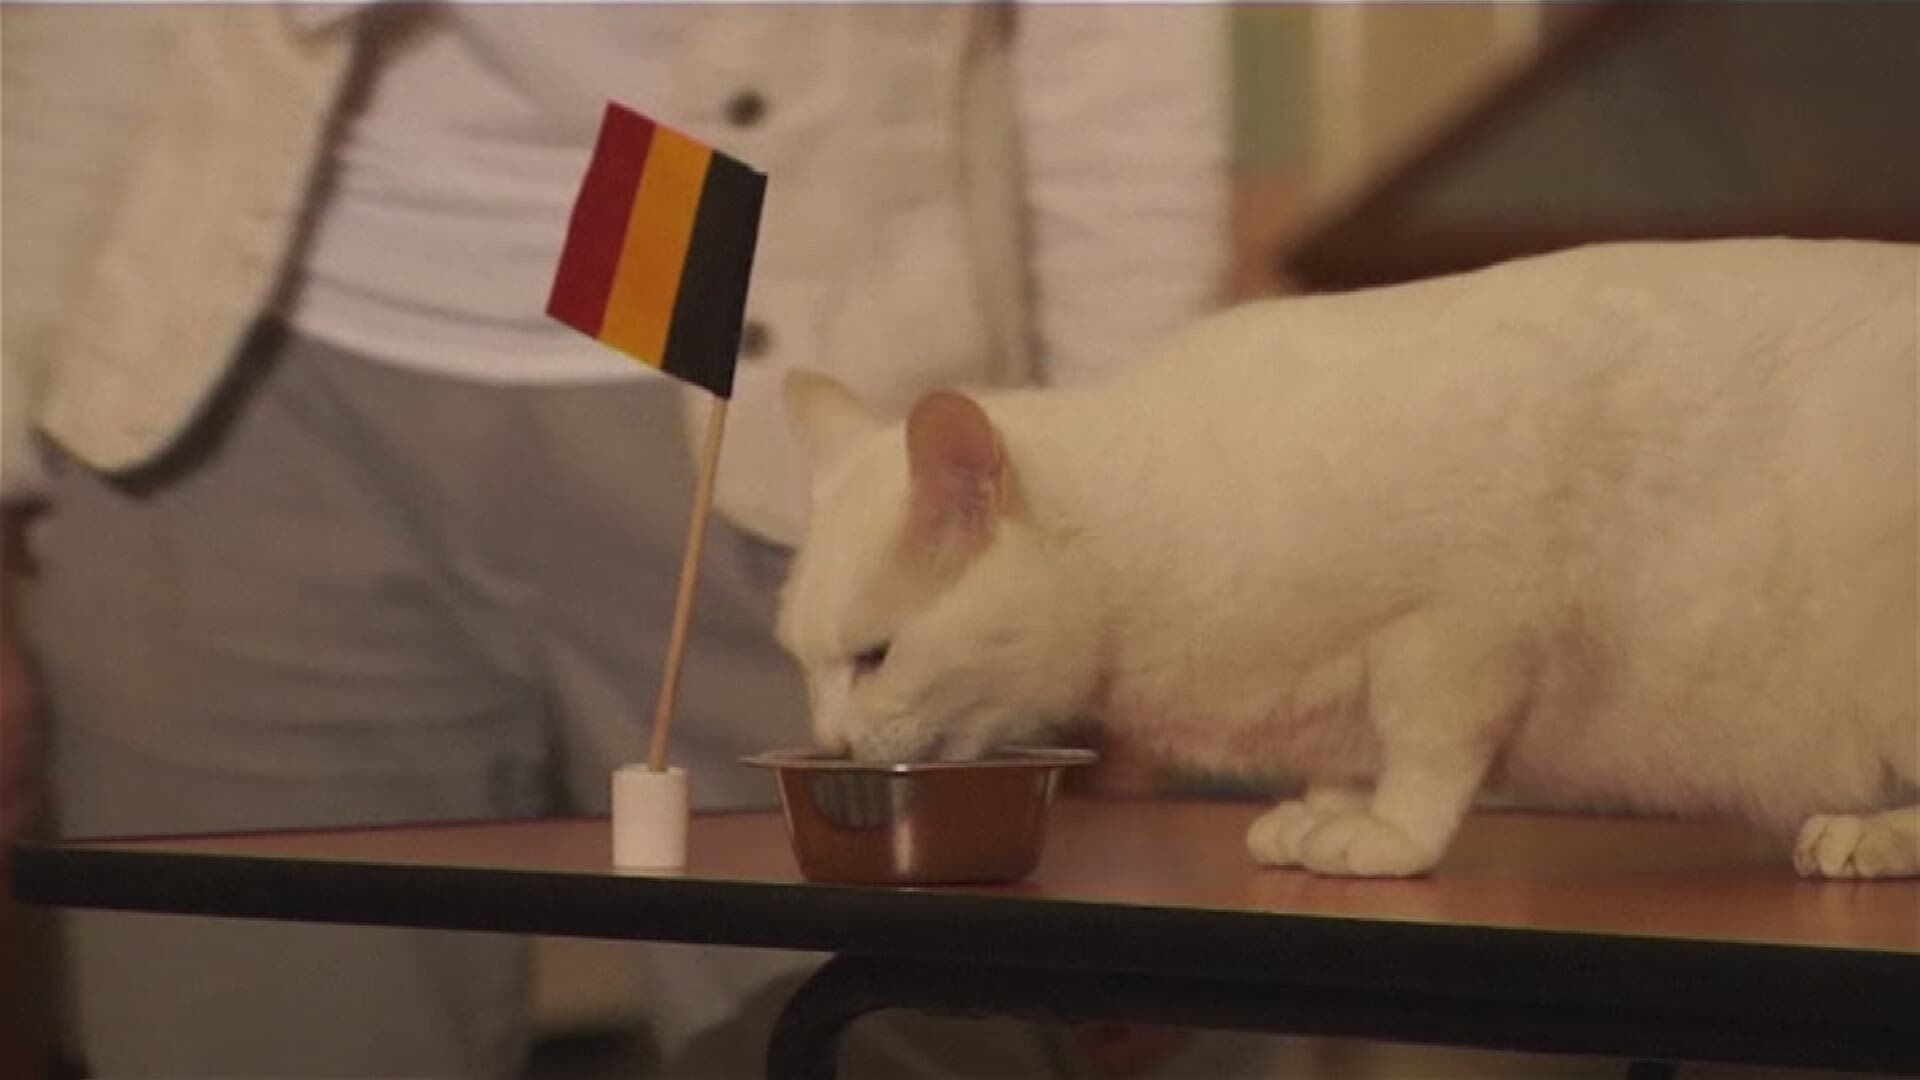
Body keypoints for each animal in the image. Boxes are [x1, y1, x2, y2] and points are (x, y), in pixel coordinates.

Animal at [774, 239, 1918, 880]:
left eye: (874, 658)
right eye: (804, 666)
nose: (830, 744)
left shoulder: (1464, 627)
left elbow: (1426, 753)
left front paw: (1393, 838)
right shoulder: (1345, 679)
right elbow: (1346, 755)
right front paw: (1324, 817)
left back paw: (1871, 841)